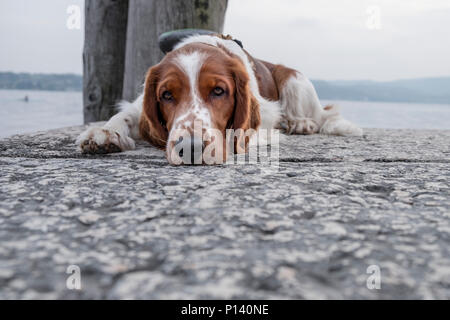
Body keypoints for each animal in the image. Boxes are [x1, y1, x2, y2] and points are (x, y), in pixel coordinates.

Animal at [76, 34, 362, 165]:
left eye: (218, 91)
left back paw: (301, 123)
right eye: (166, 95)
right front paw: (104, 133)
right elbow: (123, 116)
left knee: (322, 116)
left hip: (295, 82)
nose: (190, 147)